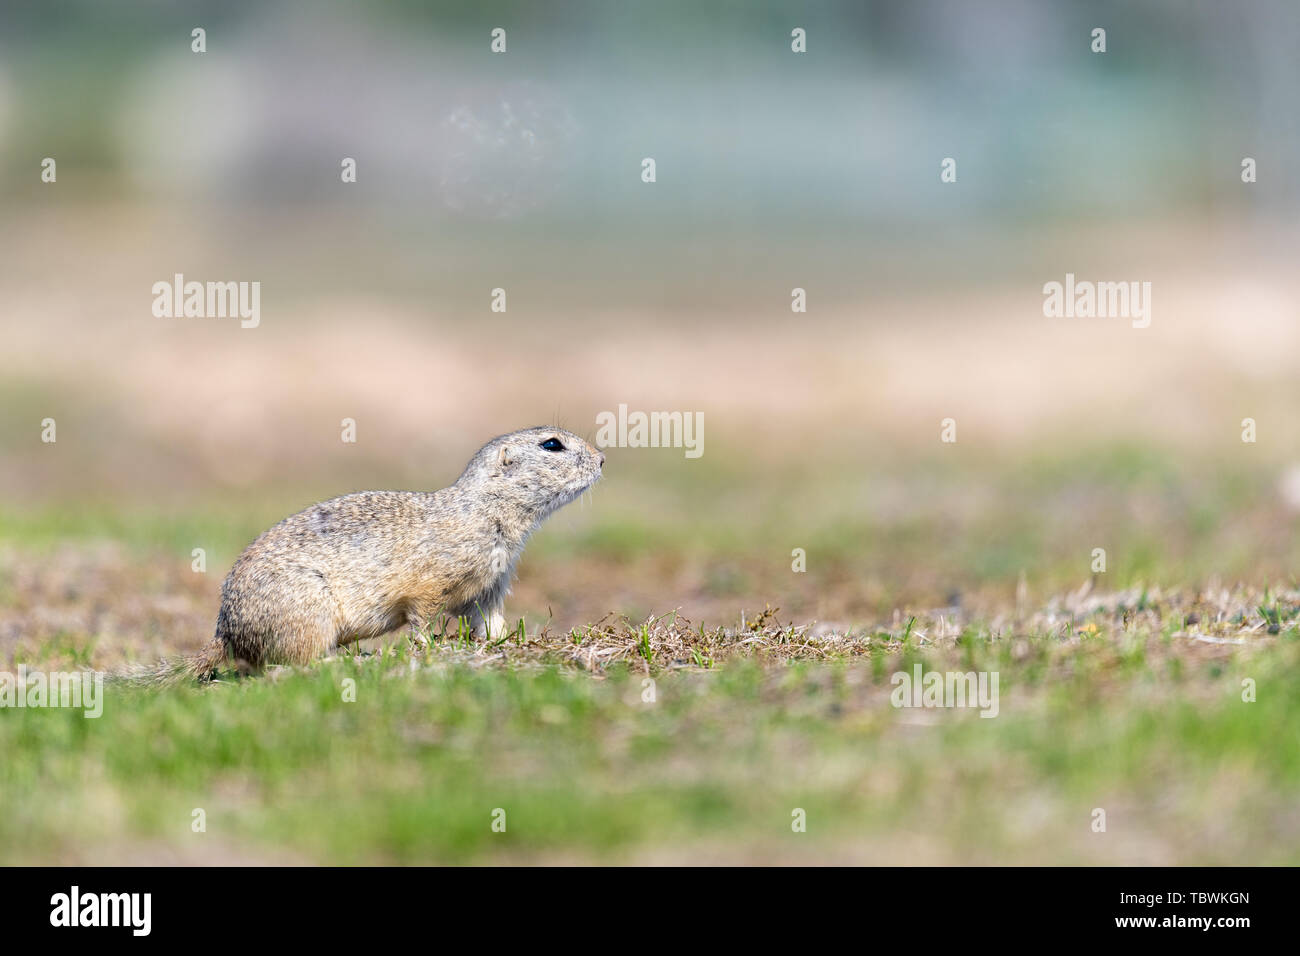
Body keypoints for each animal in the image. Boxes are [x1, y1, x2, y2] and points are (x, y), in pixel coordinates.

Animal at [134, 426, 600, 681]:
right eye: (552, 445)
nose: (603, 459)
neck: (485, 510)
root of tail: (225, 633)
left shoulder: (491, 585)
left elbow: (491, 620)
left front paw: (509, 644)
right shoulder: (429, 583)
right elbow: (422, 616)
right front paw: (429, 650)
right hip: (308, 612)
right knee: (289, 664)